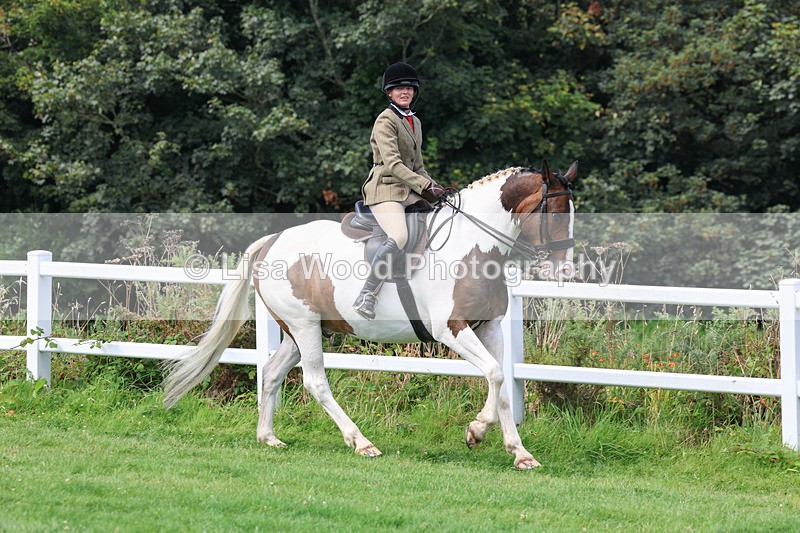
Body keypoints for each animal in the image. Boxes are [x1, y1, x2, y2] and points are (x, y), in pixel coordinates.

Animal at [163, 160, 577, 470]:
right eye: (556, 214)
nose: (566, 272)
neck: (473, 245)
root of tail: (272, 242)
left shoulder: (488, 328)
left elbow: (501, 382)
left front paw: (519, 452)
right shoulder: (451, 329)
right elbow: (494, 373)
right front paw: (476, 431)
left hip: (300, 331)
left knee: (271, 372)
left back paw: (268, 438)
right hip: (304, 326)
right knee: (315, 382)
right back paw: (361, 442)